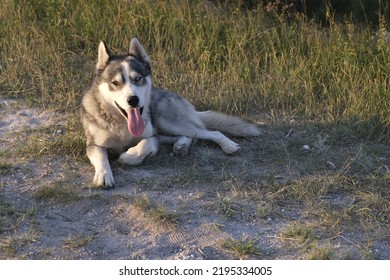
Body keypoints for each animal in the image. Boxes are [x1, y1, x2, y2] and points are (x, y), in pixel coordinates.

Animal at [80, 37, 260, 188]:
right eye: (116, 83)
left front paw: (128, 155)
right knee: (185, 136)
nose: (133, 100)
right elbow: (101, 157)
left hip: (167, 120)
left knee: (208, 132)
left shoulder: (151, 137)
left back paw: (227, 145)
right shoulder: (93, 144)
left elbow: (144, 146)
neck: (122, 125)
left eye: (138, 78)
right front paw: (104, 175)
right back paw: (181, 145)